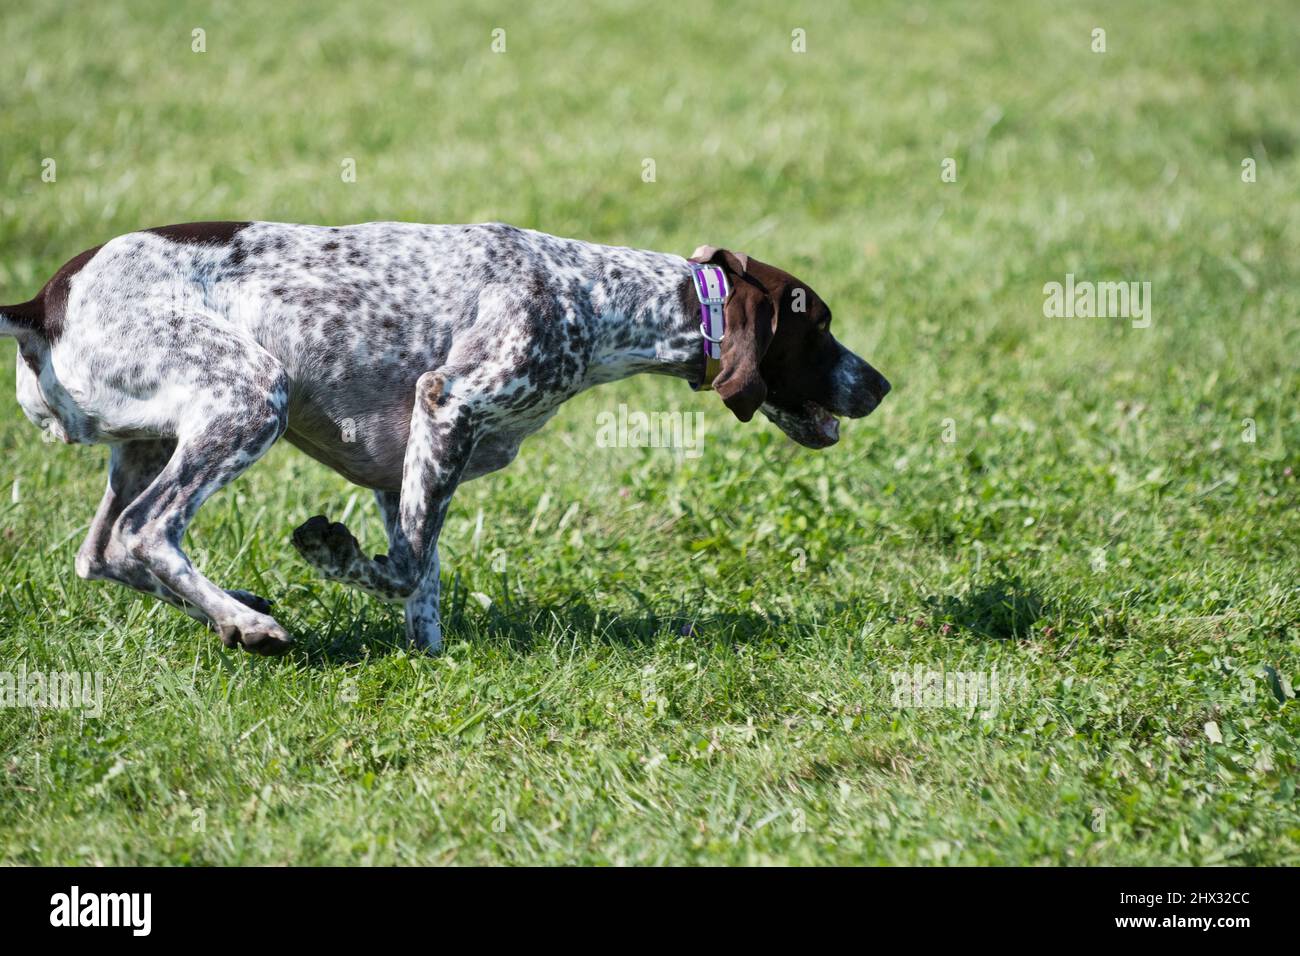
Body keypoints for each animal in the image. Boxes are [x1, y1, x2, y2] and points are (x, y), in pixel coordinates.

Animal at [0, 223, 889, 655]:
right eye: (819, 326)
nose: (880, 385)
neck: (594, 296)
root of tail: (44, 300)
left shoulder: (403, 467)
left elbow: (418, 581)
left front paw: (427, 660)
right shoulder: (447, 407)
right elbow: (401, 570)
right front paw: (330, 552)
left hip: (150, 442)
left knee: (103, 552)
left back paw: (233, 608)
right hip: (250, 397)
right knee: (149, 532)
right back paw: (248, 624)